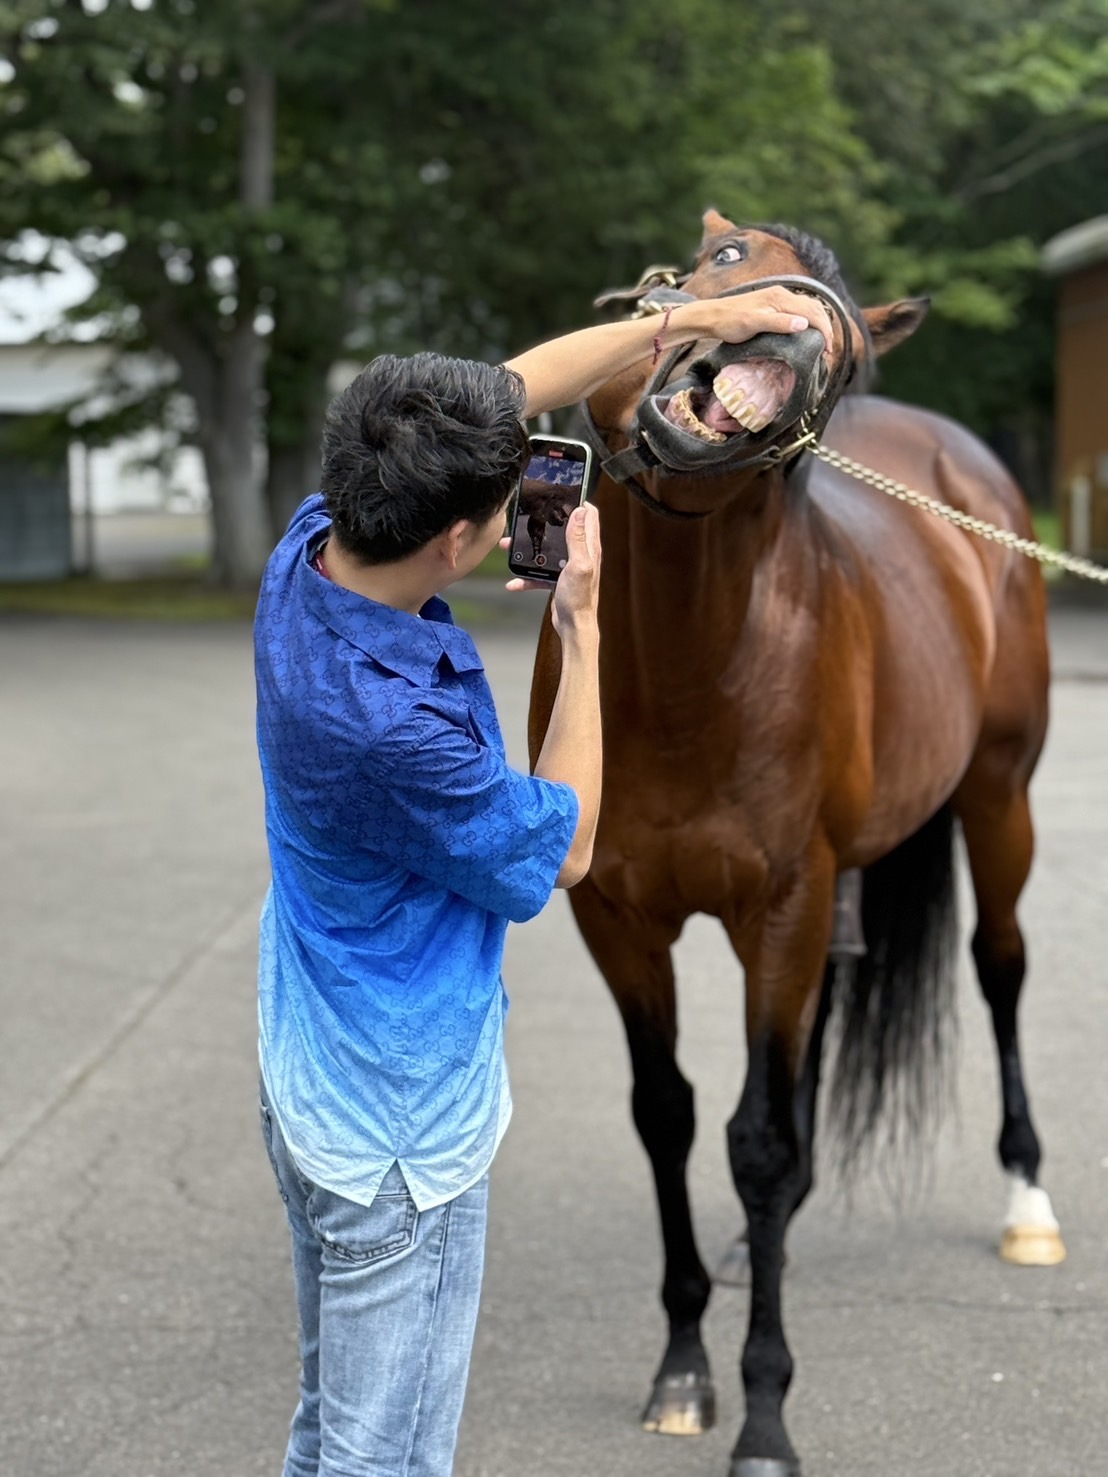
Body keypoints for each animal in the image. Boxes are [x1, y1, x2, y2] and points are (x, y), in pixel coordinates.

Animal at [526, 209, 1064, 1477]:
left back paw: (1027, 1201)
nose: (792, 335)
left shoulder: (780, 902)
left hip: (997, 801)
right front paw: (683, 1367)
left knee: (1000, 969)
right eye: (722, 262)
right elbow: (668, 1115)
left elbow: (758, 1139)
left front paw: (764, 1415)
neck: (677, 676)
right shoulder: (616, 919)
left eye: (850, 351)